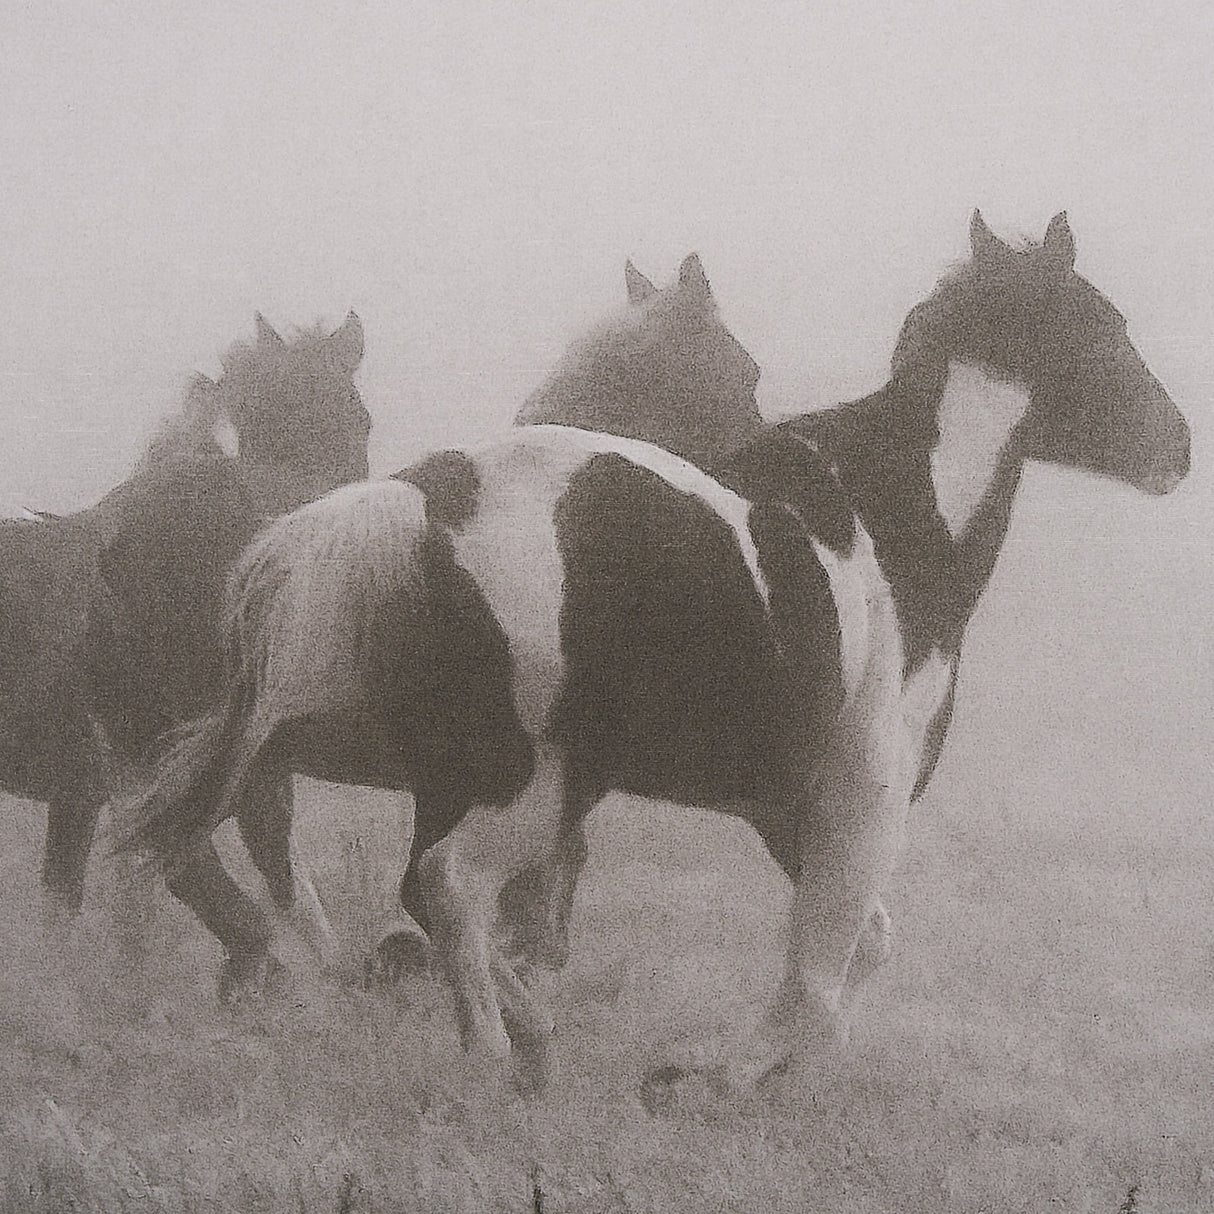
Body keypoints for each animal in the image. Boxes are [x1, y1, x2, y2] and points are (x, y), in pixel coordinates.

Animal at [125, 213, 1189, 1093]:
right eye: (1106, 328)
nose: (1176, 448)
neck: (899, 531)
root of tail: (426, 495)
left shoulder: (787, 806)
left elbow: (863, 946)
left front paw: (774, 1073)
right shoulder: (865, 796)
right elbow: (822, 966)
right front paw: (721, 1076)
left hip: (460, 771)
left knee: (407, 887)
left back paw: (506, 1029)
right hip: (526, 781)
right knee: (444, 885)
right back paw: (497, 1054)